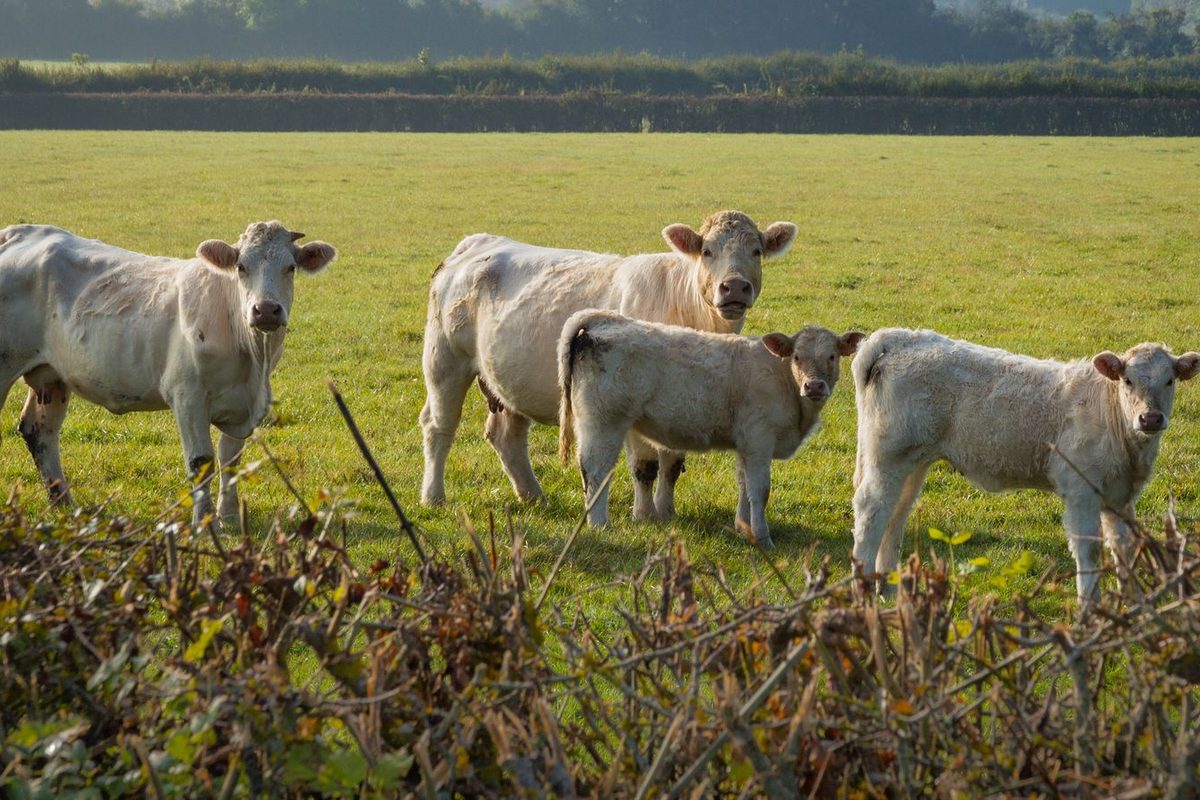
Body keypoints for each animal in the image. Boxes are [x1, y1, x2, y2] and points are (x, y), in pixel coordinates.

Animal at [0, 221, 337, 527]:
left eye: (291, 267)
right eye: (241, 267)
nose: (266, 310)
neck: (252, 358)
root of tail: (21, 231)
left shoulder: (242, 405)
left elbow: (230, 461)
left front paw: (229, 519)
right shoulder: (187, 396)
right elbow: (201, 462)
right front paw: (205, 524)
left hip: (51, 375)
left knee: (40, 430)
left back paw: (64, 504)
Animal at [420, 210, 799, 519]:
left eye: (756, 251)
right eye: (707, 251)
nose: (733, 286)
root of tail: (477, 242)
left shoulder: (685, 401)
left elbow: (672, 463)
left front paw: (667, 512)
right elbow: (645, 465)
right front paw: (645, 515)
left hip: (506, 380)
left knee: (506, 436)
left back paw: (533, 496)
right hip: (445, 361)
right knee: (439, 427)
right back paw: (434, 496)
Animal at [557, 310, 864, 546]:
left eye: (832, 356)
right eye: (797, 357)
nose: (814, 386)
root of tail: (606, 320)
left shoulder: (746, 445)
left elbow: (744, 485)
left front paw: (744, 527)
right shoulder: (760, 440)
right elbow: (760, 490)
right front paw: (763, 538)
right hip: (604, 422)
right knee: (596, 471)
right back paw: (600, 524)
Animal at [850, 328, 1200, 602]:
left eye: (1170, 381)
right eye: (1127, 380)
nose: (1150, 418)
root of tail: (897, 337)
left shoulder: (1120, 496)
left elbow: (1124, 547)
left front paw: (1135, 603)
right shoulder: (1081, 492)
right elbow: (1089, 550)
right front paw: (1089, 609)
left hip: (913, 462)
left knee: (896, 514)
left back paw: (889, 589)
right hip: (888, 457)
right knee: (871, 510)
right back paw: (864, 590)